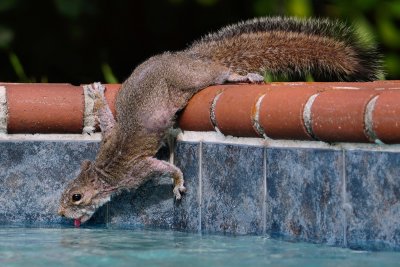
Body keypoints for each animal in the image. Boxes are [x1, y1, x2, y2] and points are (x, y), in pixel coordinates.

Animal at [56, 16, 382, 226]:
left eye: (76, 197)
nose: (60, 214)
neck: (105, 170)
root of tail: (190, 57)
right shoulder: (110, 136)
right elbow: (108, 119)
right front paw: (97, 94)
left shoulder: (139, 170)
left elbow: (167, 168)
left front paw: (177, 183)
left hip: (195, 78)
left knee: (221, 71)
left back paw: (242, 76)